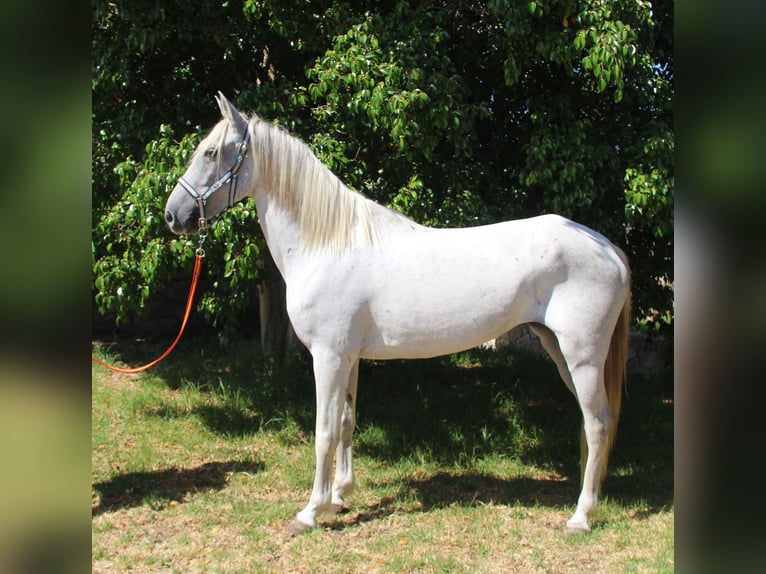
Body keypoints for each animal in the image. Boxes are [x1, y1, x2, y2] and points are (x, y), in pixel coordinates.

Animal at [165, 92, 632, 536]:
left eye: (210, 152)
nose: (173, 215)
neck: (328, 244)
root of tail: (608, 247)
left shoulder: (328, 358)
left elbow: (324, 432)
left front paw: (310, 512)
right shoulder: (349, 358)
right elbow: (348, 422)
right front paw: (340, 495)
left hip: (583, 358)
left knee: (598, 424)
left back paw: (581, 517)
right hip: (558, 350)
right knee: (595, 424)